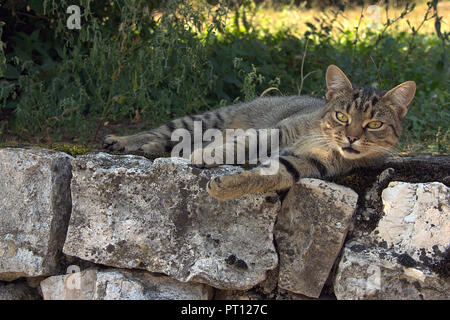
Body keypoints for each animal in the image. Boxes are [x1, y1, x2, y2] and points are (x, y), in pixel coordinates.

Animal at [103, 65, 416, 200]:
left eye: (374, 124)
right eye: (342, 117)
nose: (351, 137)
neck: (323, 139)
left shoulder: (303, 164)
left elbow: (267, 176)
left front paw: (227, 186)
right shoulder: (276, 132)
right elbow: (240, 145)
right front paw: (208, 155)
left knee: (165, 141)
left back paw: (152, 149)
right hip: (199, 120)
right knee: (158, 132)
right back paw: (121, 141)